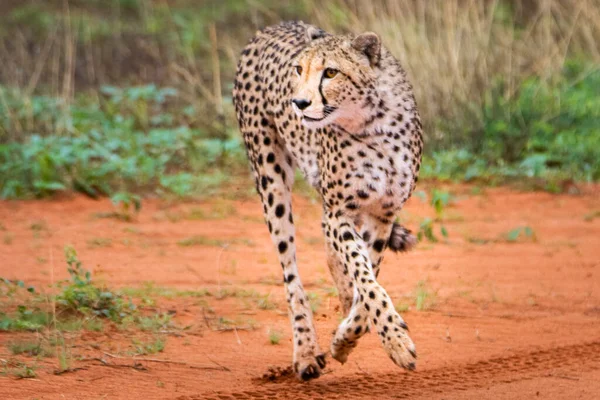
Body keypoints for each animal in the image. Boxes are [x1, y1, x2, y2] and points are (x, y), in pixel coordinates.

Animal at [232, 21, 424, 382]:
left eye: (331, 73)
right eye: (299, 69)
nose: (299, 102)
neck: (373, 124)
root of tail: (273, 25)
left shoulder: (382, 214)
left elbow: (367, 281)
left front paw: (346, 338)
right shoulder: (339, 212)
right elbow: (367, 280)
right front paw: (395, 340)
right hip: (270, 177)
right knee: (291, 273)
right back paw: (306, 352)